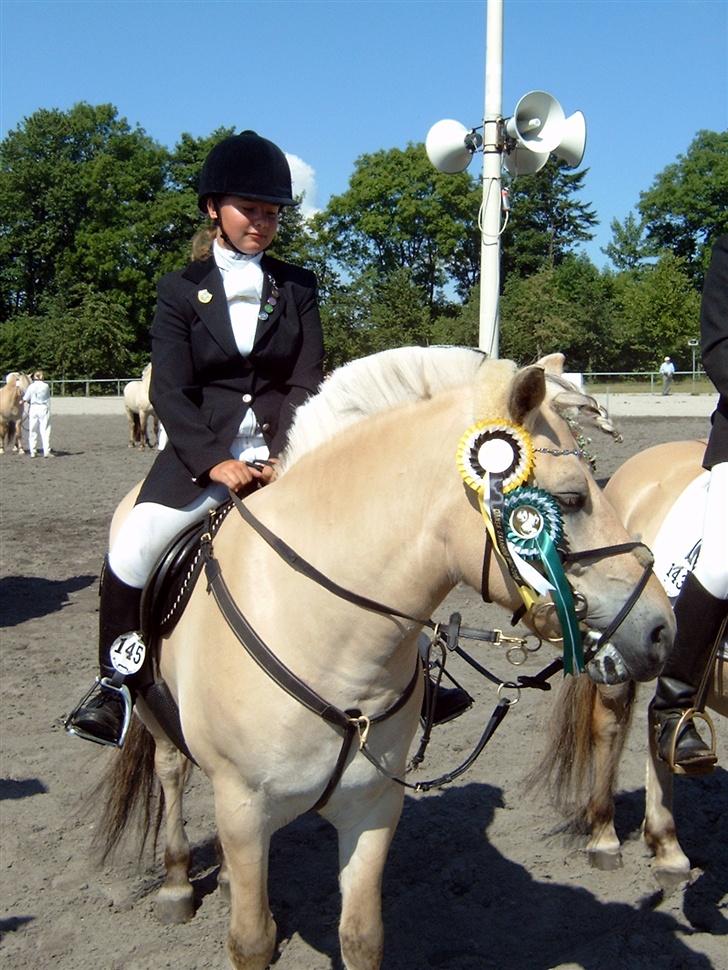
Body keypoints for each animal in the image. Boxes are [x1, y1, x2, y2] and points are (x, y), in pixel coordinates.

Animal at [96, 348, 676, 968]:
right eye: (569, 499)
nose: (662, 628)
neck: (324, 634)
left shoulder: (372, 807)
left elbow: (362, 936)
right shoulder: (244, 807)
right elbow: (252, 940)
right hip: (155, 716)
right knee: (171, 770)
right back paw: (177, 882)